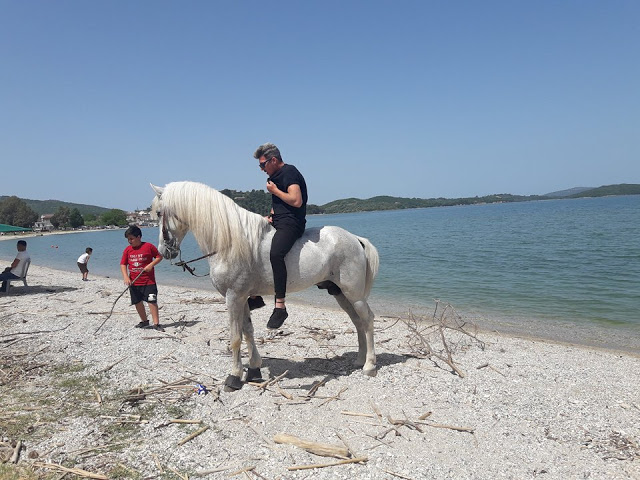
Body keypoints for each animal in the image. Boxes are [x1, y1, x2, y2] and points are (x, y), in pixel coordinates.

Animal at [152, 181, 378, 390]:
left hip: (354, 294)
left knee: (367, 320)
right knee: (358, 322)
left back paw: (369, 366)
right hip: (340, 294)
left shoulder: (233, 298)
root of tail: (355, 238)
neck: (231, 243)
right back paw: (359, 360)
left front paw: (234, 376)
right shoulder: (242, 298)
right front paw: (253, 369)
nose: (164, 251)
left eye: (159, 213)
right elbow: (248, 331)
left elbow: (235, 337)